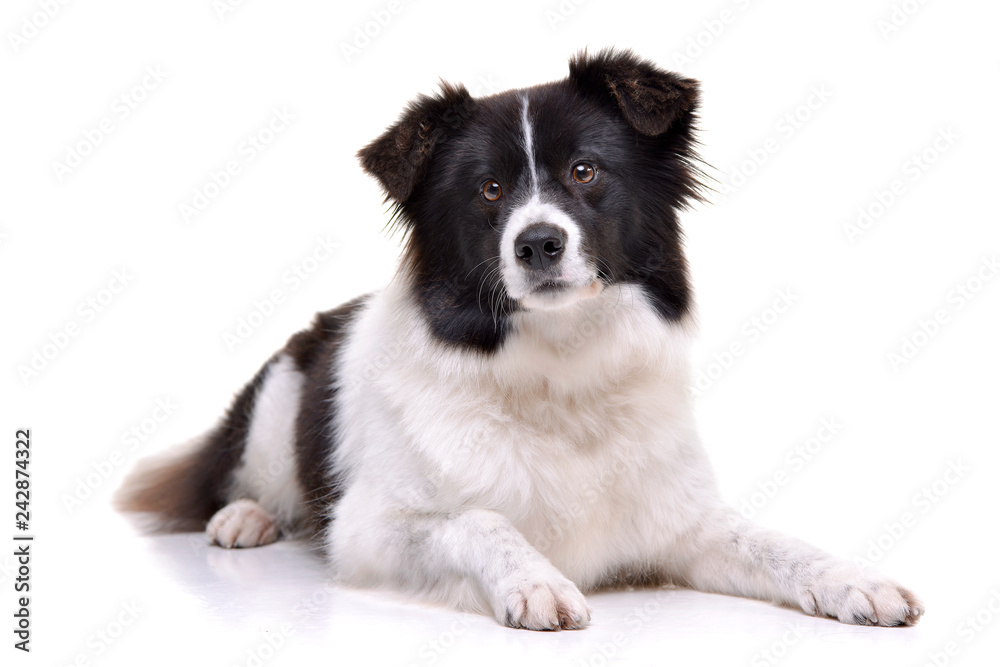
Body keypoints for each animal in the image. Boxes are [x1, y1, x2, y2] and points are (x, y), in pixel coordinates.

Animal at [115, 48, 920, 632]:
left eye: (585, 171)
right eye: (490, 191)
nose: (537, 244)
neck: (560, 370)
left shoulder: (684, 523)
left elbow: (777, 544)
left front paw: (854, 579)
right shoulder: (369, 528)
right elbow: (481, 519)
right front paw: (535, 580)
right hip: (277, 405)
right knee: (246, 481)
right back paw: (243, 517)